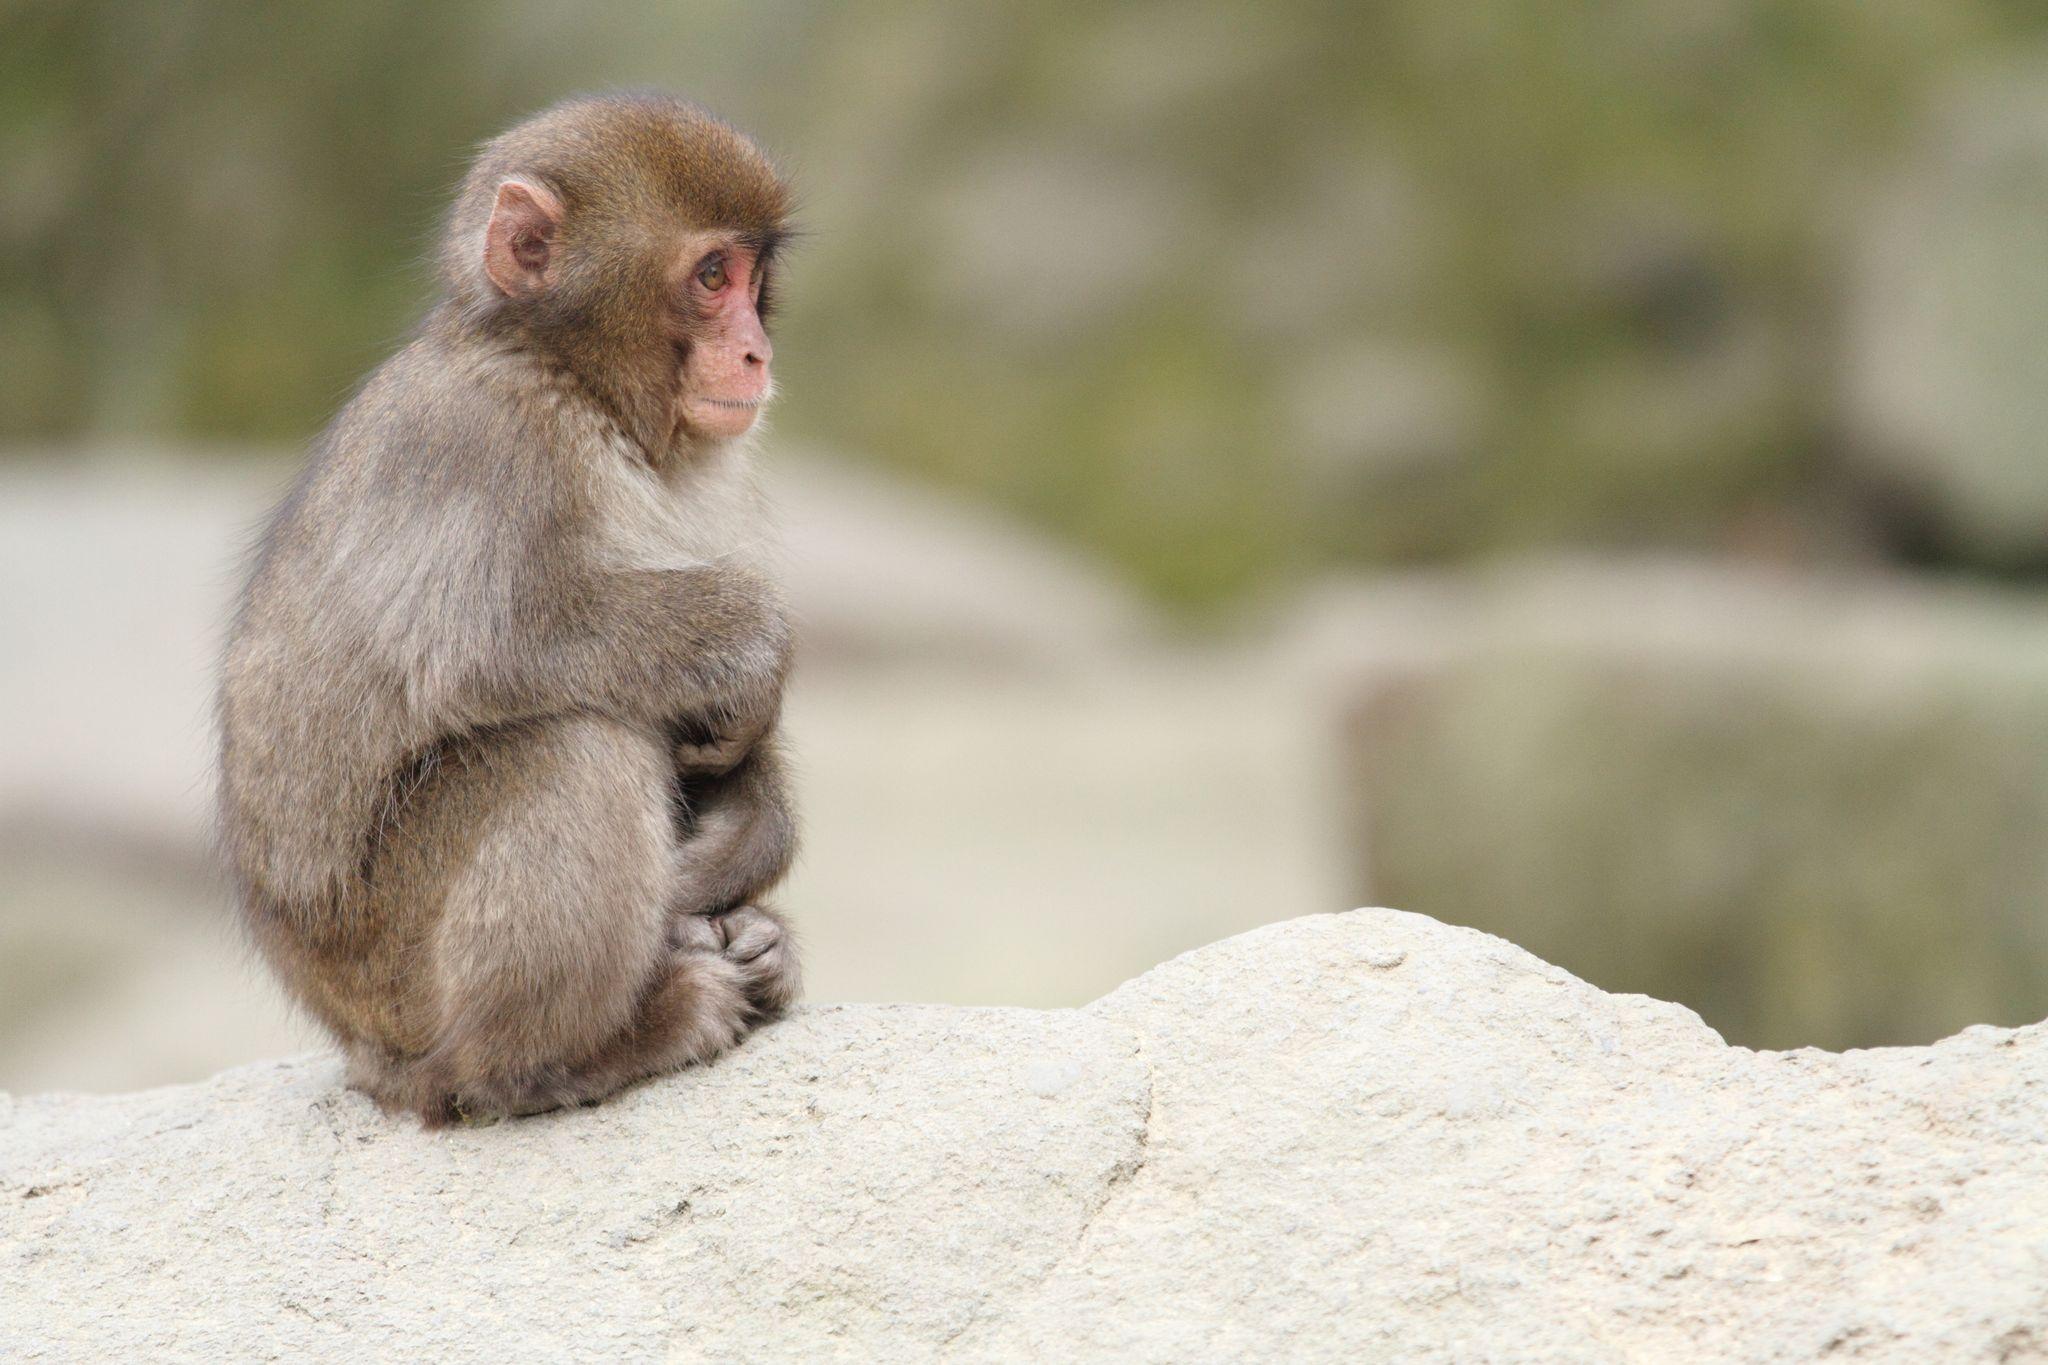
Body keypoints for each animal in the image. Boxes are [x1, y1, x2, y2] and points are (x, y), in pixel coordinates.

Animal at [216, 93, 802, 1121]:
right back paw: (566, 1058)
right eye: (711, 276)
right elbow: (483, 643)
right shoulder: (479, 446)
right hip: (395, 960)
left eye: (753, 276)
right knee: (573, 747)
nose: (755, 351)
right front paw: (751, 642)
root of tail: (362, 1048)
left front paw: (751, 827)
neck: (568, 381)